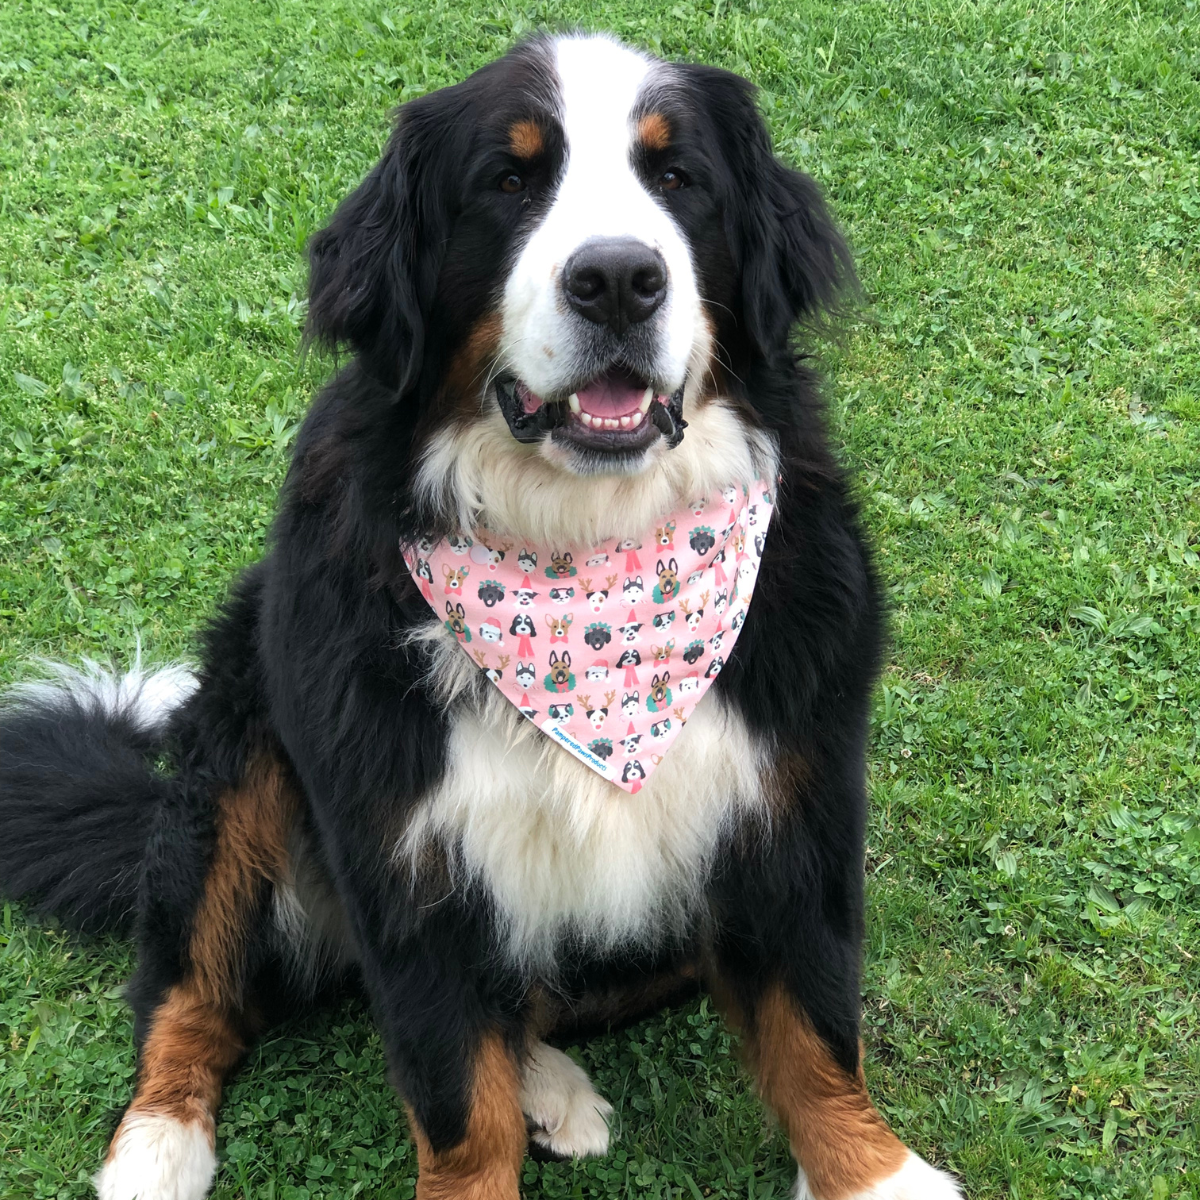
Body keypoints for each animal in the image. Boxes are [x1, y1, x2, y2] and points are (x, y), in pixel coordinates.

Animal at [0, 35, 960, 1200]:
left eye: (677, 176)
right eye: (509, 183)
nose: (616, 278)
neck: (586, 559)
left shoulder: (792, 800)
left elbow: (814, 1027)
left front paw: (873, 1174)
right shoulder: (406, 854)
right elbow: (456, 1093)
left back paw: (551, 1087)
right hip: (238, 753)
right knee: (193, 988)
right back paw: (155, 1146)